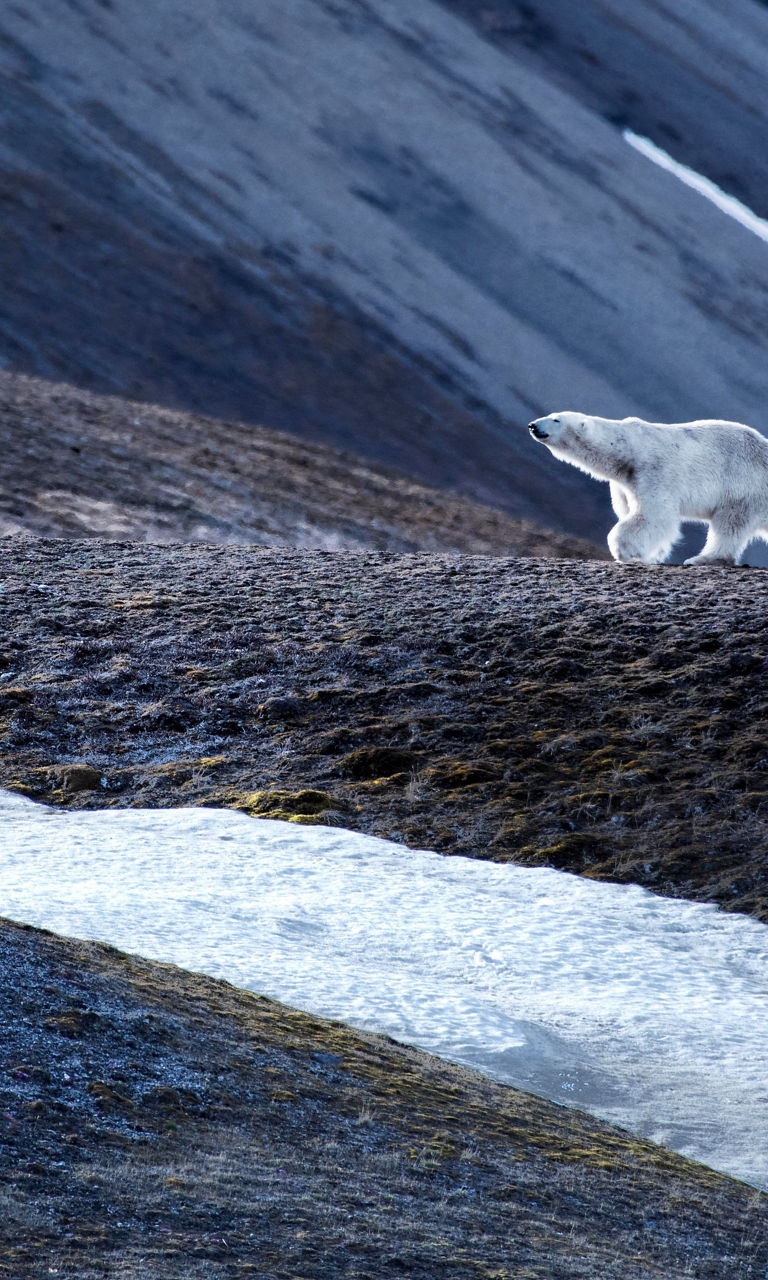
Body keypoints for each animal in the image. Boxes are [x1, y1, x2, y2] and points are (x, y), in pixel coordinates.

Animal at [528, 411, 768, 565]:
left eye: (556, 419)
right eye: (550, 414)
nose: (533, 425)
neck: (629, 448)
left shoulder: (654, 470)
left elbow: (653, 515)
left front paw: (626, 552)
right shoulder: (623, 484)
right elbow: (630, 511)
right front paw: (652, 553)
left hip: (742, 487)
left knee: (729, 524)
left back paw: (703, 558)